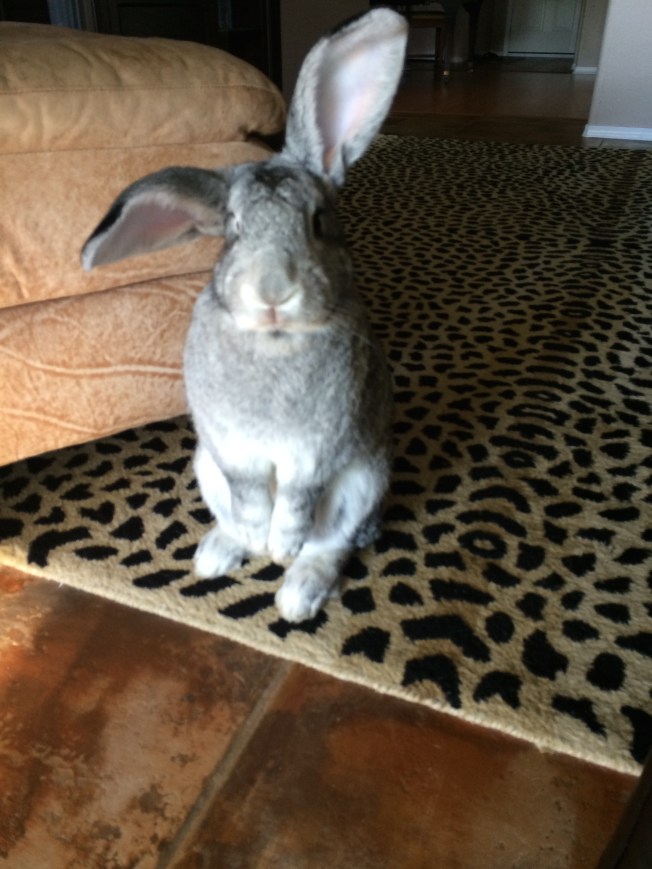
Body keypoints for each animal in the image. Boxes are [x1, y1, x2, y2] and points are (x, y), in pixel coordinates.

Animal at [81, 8, 408, 623]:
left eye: (319, 221)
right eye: (233, 229)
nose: (273, 289)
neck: (273, 339)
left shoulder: (316, 454)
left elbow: (297, 503)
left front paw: (280, 548)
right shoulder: (233, 453)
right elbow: (253, 495)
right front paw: (260, 539)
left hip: (361, 485)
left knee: (331, 546)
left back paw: (297, 593)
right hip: (205, 468)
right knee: (233, 516)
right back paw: (218, 555)